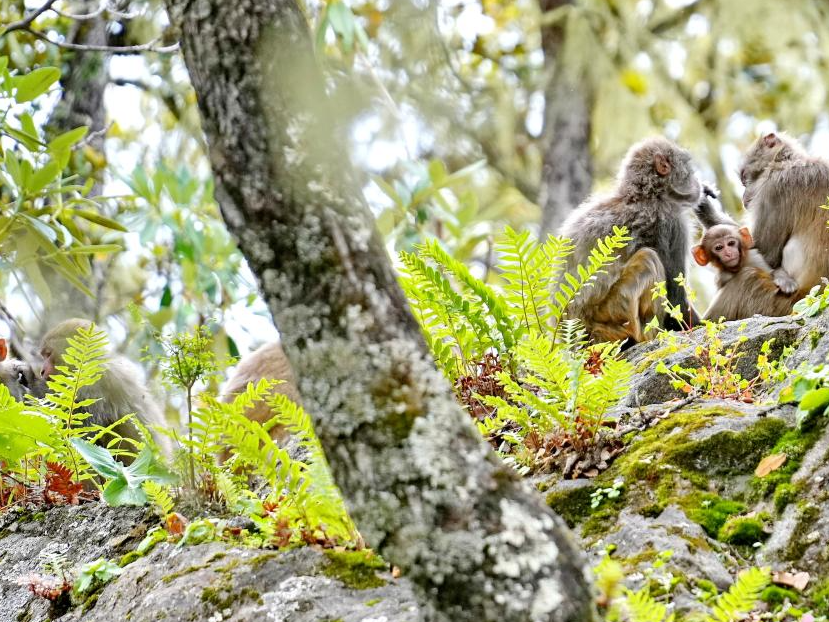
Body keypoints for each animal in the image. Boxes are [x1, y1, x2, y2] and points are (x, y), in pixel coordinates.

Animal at [556, 135, 700, 346]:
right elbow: (677, 301)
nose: (697, 182)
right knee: (648, 259)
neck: (642, 194)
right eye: (689, 166)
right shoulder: (672, 223)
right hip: (613, 314)